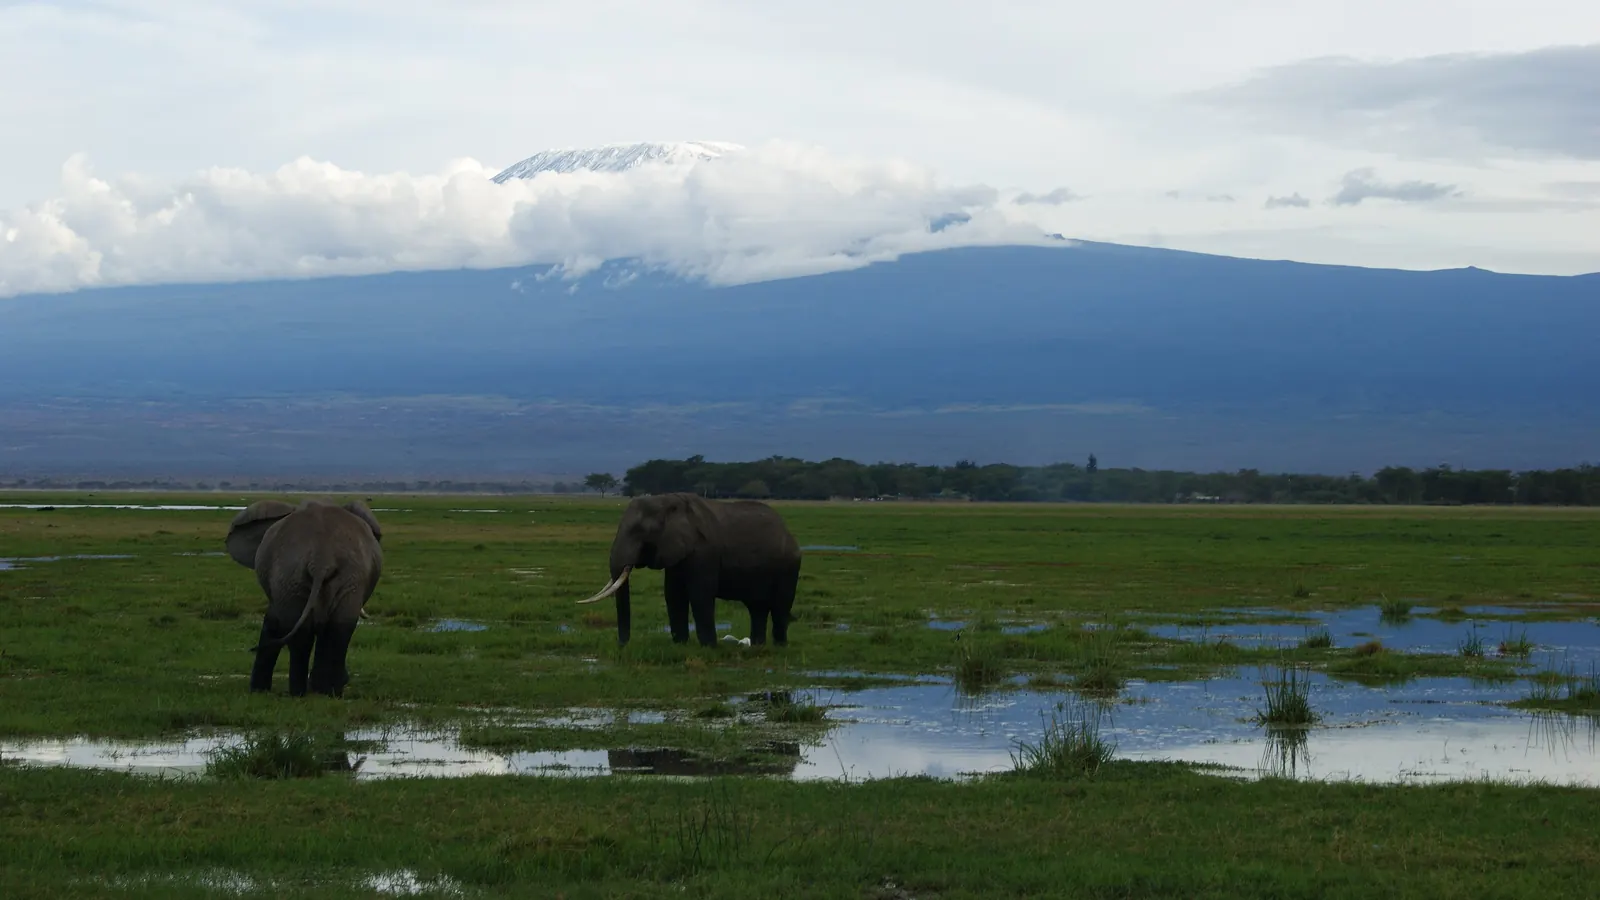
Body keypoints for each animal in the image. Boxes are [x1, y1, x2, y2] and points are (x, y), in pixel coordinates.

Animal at [225, 498, 383, 697]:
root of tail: (321, 558)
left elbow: (273, 623)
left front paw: (258, 690)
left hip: (299, 577)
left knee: (313, 633)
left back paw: (304, 693)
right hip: (324, 577)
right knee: (337, 629)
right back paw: (325, 692)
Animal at [576, 493, 801, 648]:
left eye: (640, 531)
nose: (622, 646)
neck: (667, 501)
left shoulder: (704, 551)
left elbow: (700, 594)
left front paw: (709, 648)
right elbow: (674, 594)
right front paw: (680, 645)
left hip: (789, 567)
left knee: (779, 607)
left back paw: (779, 646)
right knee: (757, 608)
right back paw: (757, 646)